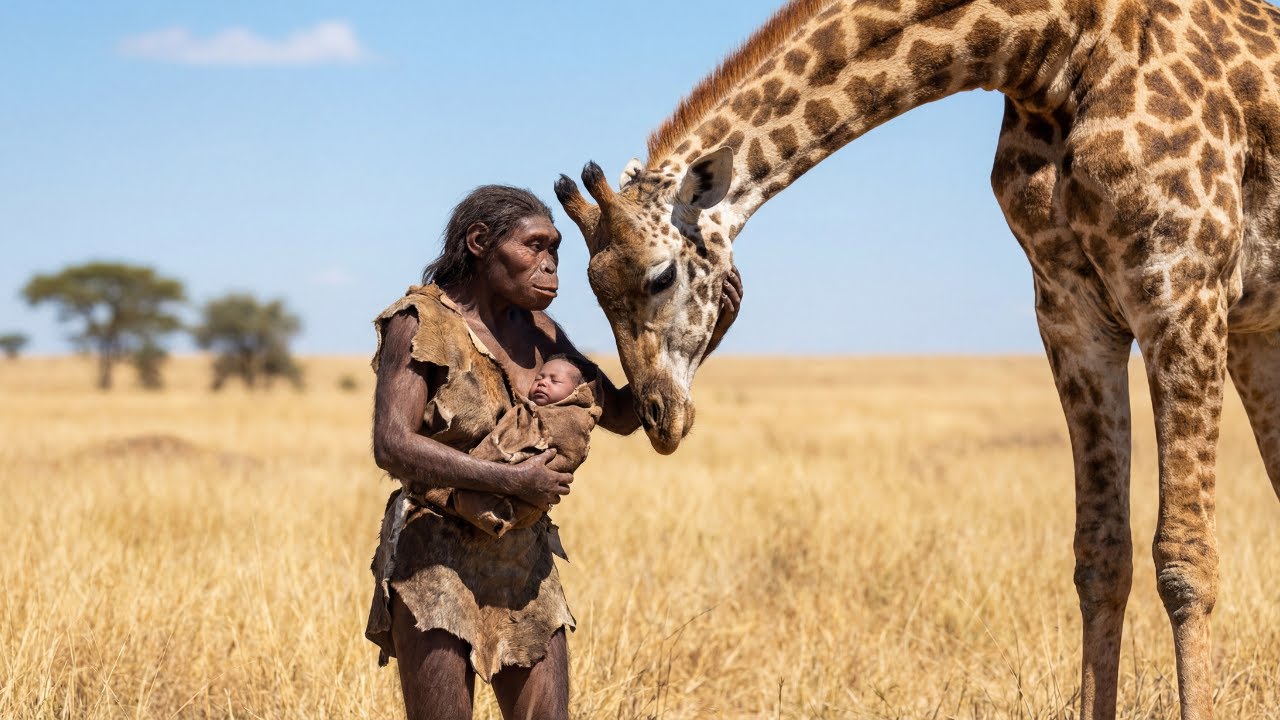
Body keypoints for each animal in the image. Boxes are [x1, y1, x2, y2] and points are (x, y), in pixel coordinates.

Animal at [552, 0, 1280, 718]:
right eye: (591, 293)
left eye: (660, 276)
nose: (658, 417)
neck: (1051, 53)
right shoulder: (1071, 315)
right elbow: (1100, 557)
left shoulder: (1182, 291)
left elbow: (1185, 562)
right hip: (1257, 333)